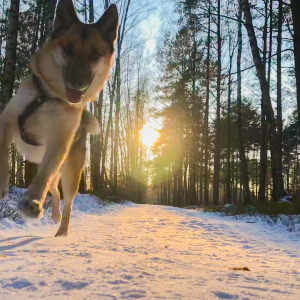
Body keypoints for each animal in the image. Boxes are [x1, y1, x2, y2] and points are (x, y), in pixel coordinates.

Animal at [0, 0, 118, 236]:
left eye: (95, 54)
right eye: (68, 48)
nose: (77, 83)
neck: (51, 95)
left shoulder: (59, 142)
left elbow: (43, 178)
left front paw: (33, 200)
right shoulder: (7, 121)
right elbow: (2, 155)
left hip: (71, 173)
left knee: (66, 201)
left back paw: (60, 228)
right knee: (54, 188)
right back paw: (53, 215)